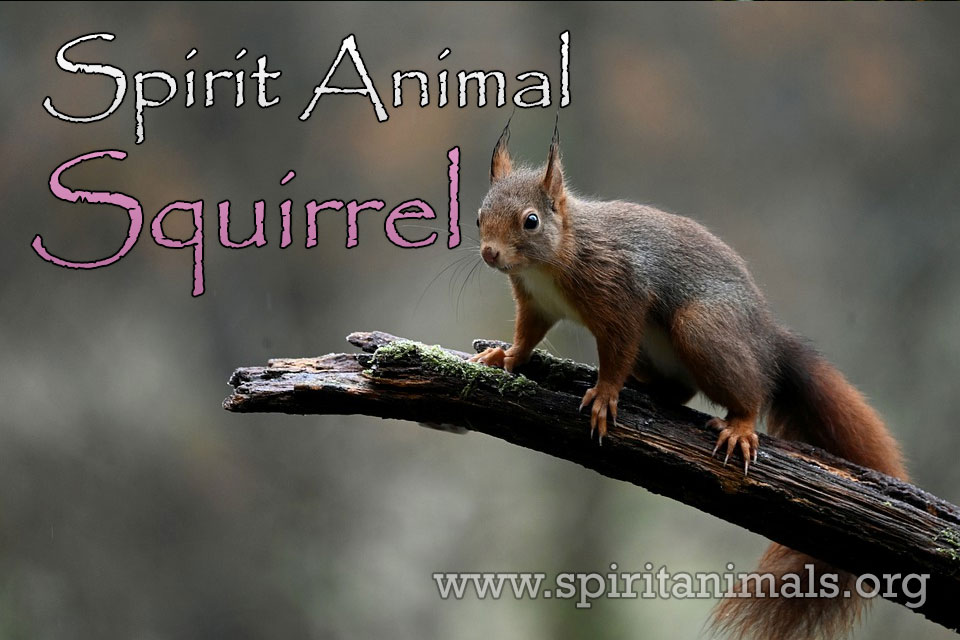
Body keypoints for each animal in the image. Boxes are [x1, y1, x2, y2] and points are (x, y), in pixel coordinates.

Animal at [469, 120, 908, 640]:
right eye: (479, 216)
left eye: (531, 221)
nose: (490, 254)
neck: (552, 258)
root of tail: (765, 339)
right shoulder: (535, 303)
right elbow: (527, 336)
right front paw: (504, 355)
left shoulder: (621, 295)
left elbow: (615, 350)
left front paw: (606, 395)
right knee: (679, 390)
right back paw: (648, 388)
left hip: (702, 329)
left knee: (750, 390)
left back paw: (739, 425)